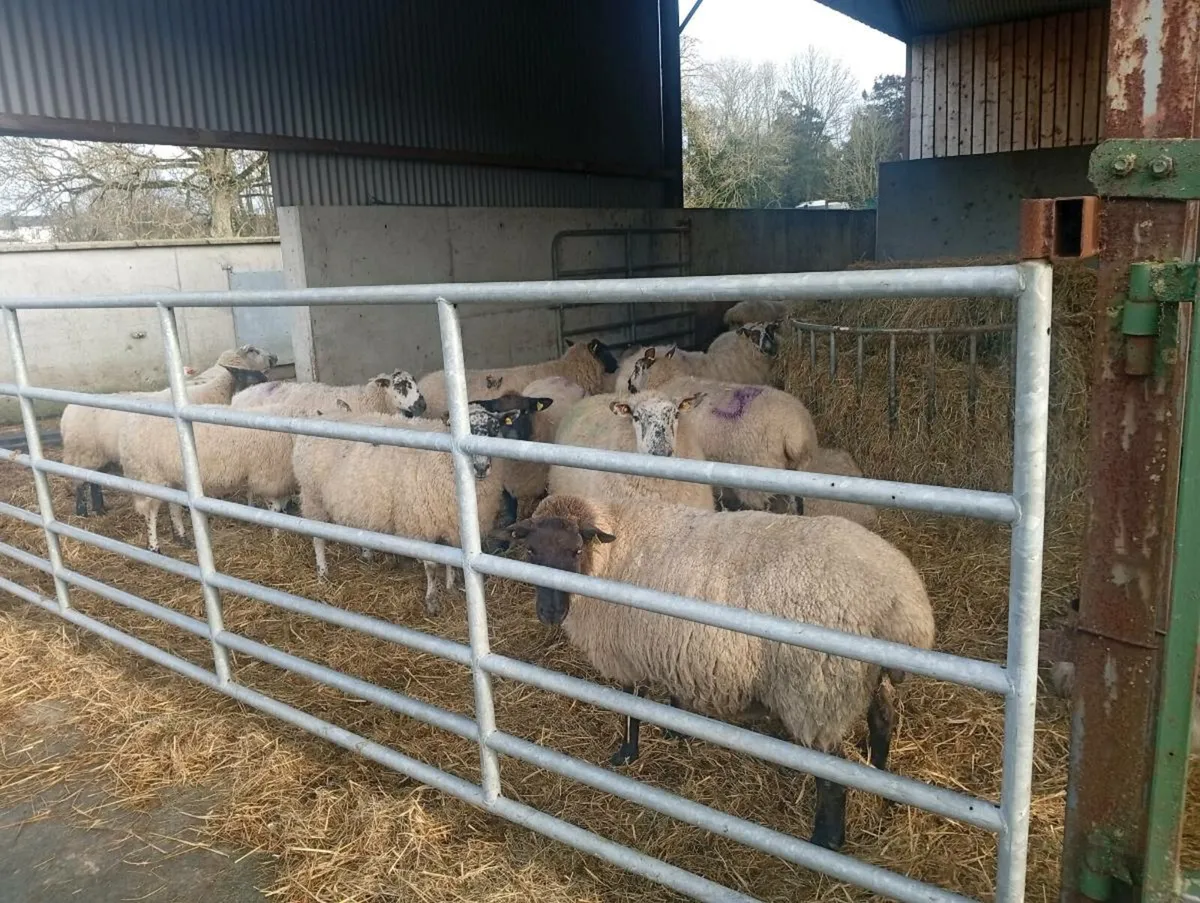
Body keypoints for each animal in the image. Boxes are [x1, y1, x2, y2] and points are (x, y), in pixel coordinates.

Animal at [61, 345, 276, 518]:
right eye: (253, 351)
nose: (274, 358)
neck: (212, 392)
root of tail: (67, 412)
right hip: (82, 452)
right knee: (80, 483)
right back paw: (82, 512)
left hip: (98, 454)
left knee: (94, 481)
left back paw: (99, 509)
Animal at [292, 400, 537, 614]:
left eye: (495, 428)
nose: (481, 467)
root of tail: (324, 414)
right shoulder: (422, 524)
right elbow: (431, 566)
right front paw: (432, 600)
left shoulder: (452, 523)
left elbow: (452, 558)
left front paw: (452, 586)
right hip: (313, 497)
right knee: (318, 538)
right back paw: (323, 572)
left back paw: (366, 555)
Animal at [499, 493, 936, 851]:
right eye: (532, 551)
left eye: (575, 550)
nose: (549, 613)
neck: (611, 553)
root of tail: (902, 605)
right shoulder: (670, 647)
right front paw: (674, 729)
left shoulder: (627, 654)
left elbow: (631, 705)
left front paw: (626, 753)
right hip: (865, 679)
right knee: (882, 724)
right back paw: (883, 787)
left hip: (817, 690)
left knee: (832, 776)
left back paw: (825, 841)